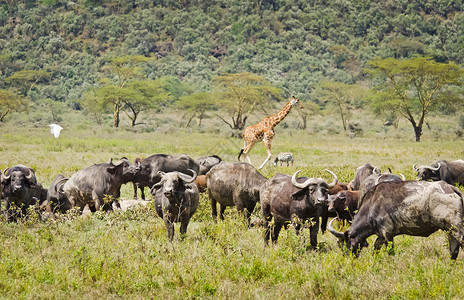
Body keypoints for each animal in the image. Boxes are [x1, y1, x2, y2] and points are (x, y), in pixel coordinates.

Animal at [328, 180, 464, 260]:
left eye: (345, 243)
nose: (346, 258)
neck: (372, 204)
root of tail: (450, 188)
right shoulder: (381, 236)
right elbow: (376, 249)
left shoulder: (387, 234)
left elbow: (390, 252)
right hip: (449, 231)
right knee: (454, 250)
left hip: (456, 228)